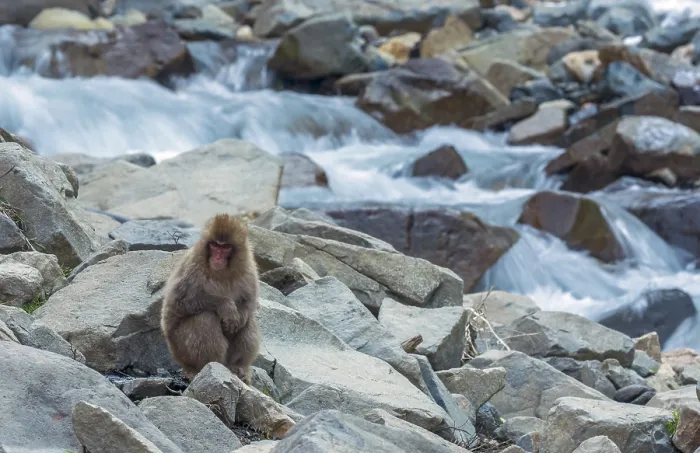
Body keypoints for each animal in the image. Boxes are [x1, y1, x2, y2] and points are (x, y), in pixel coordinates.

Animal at [160, 213, 260, 383]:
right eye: (214, 245)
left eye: (226, 247)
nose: (218, 257)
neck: (222, 273)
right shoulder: (192, 267)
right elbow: (178, 302)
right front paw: (226, 307)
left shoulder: (249, 269)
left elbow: (248, 303)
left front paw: (239, 316)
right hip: (180, 349)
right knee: (204, 318)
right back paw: (206, 367)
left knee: (249, 322)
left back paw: (238, 367)